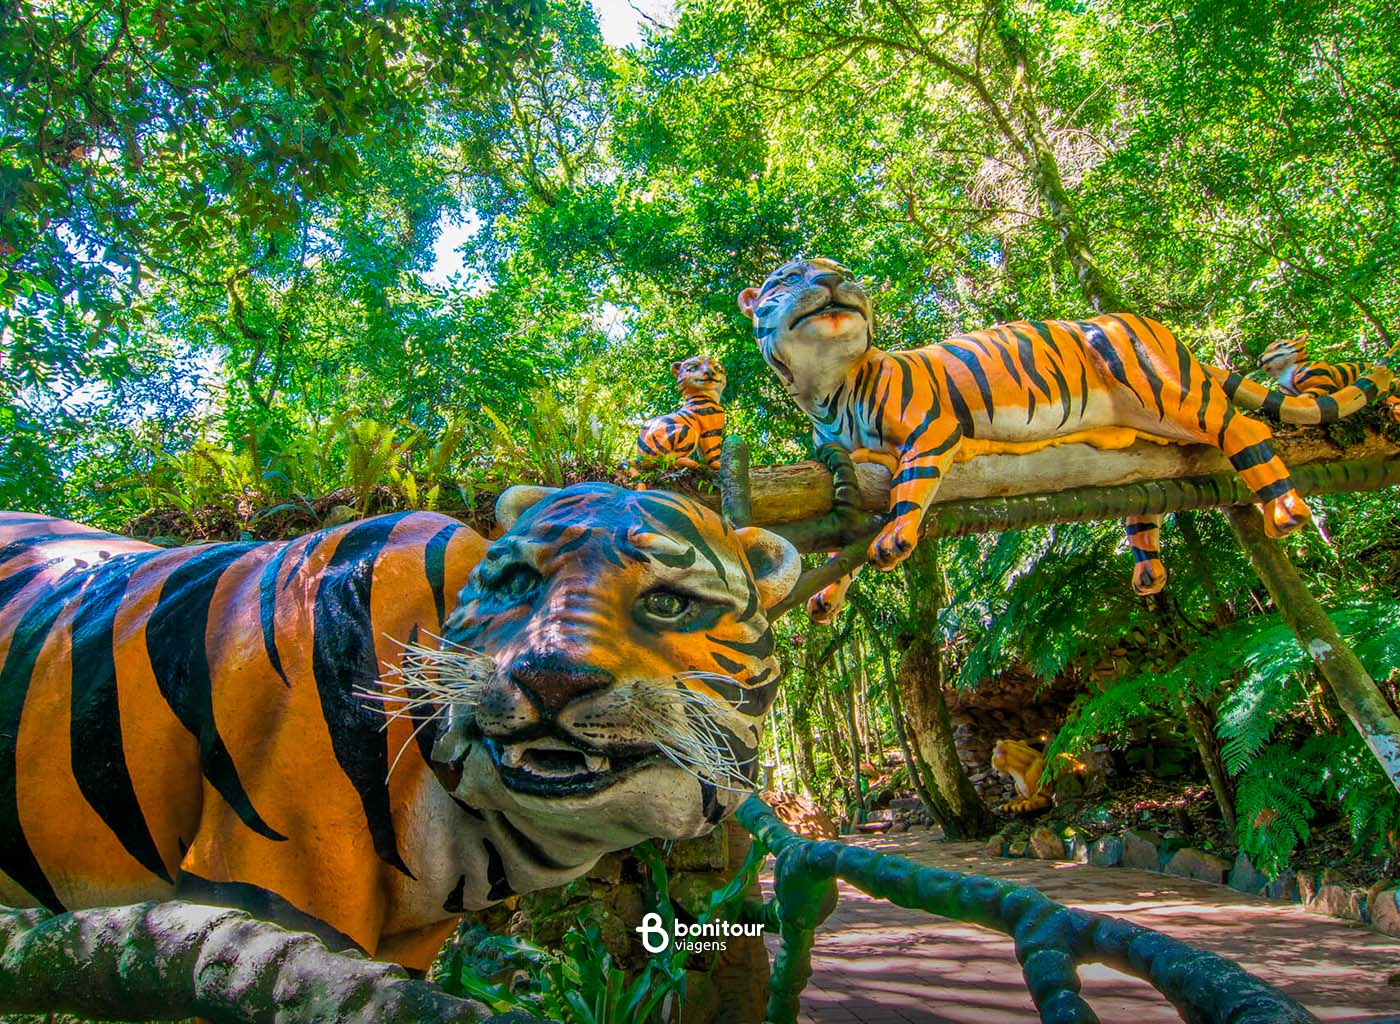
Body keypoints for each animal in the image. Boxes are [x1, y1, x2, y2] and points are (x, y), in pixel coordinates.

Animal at [737, 257, 1393, 621]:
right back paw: (1148, 572)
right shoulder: (852, 465)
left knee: (1247, 427)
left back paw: (1285, 511)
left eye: (844, 273)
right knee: (1146, 492)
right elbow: (846, 532)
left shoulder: (933, 427)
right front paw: (828, 595)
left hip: (1160, 383)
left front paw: (895, 539)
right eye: (788, 277)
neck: (829, 387)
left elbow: (910, 488)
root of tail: (1158, 327)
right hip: (1147, 431)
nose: (834, 279)